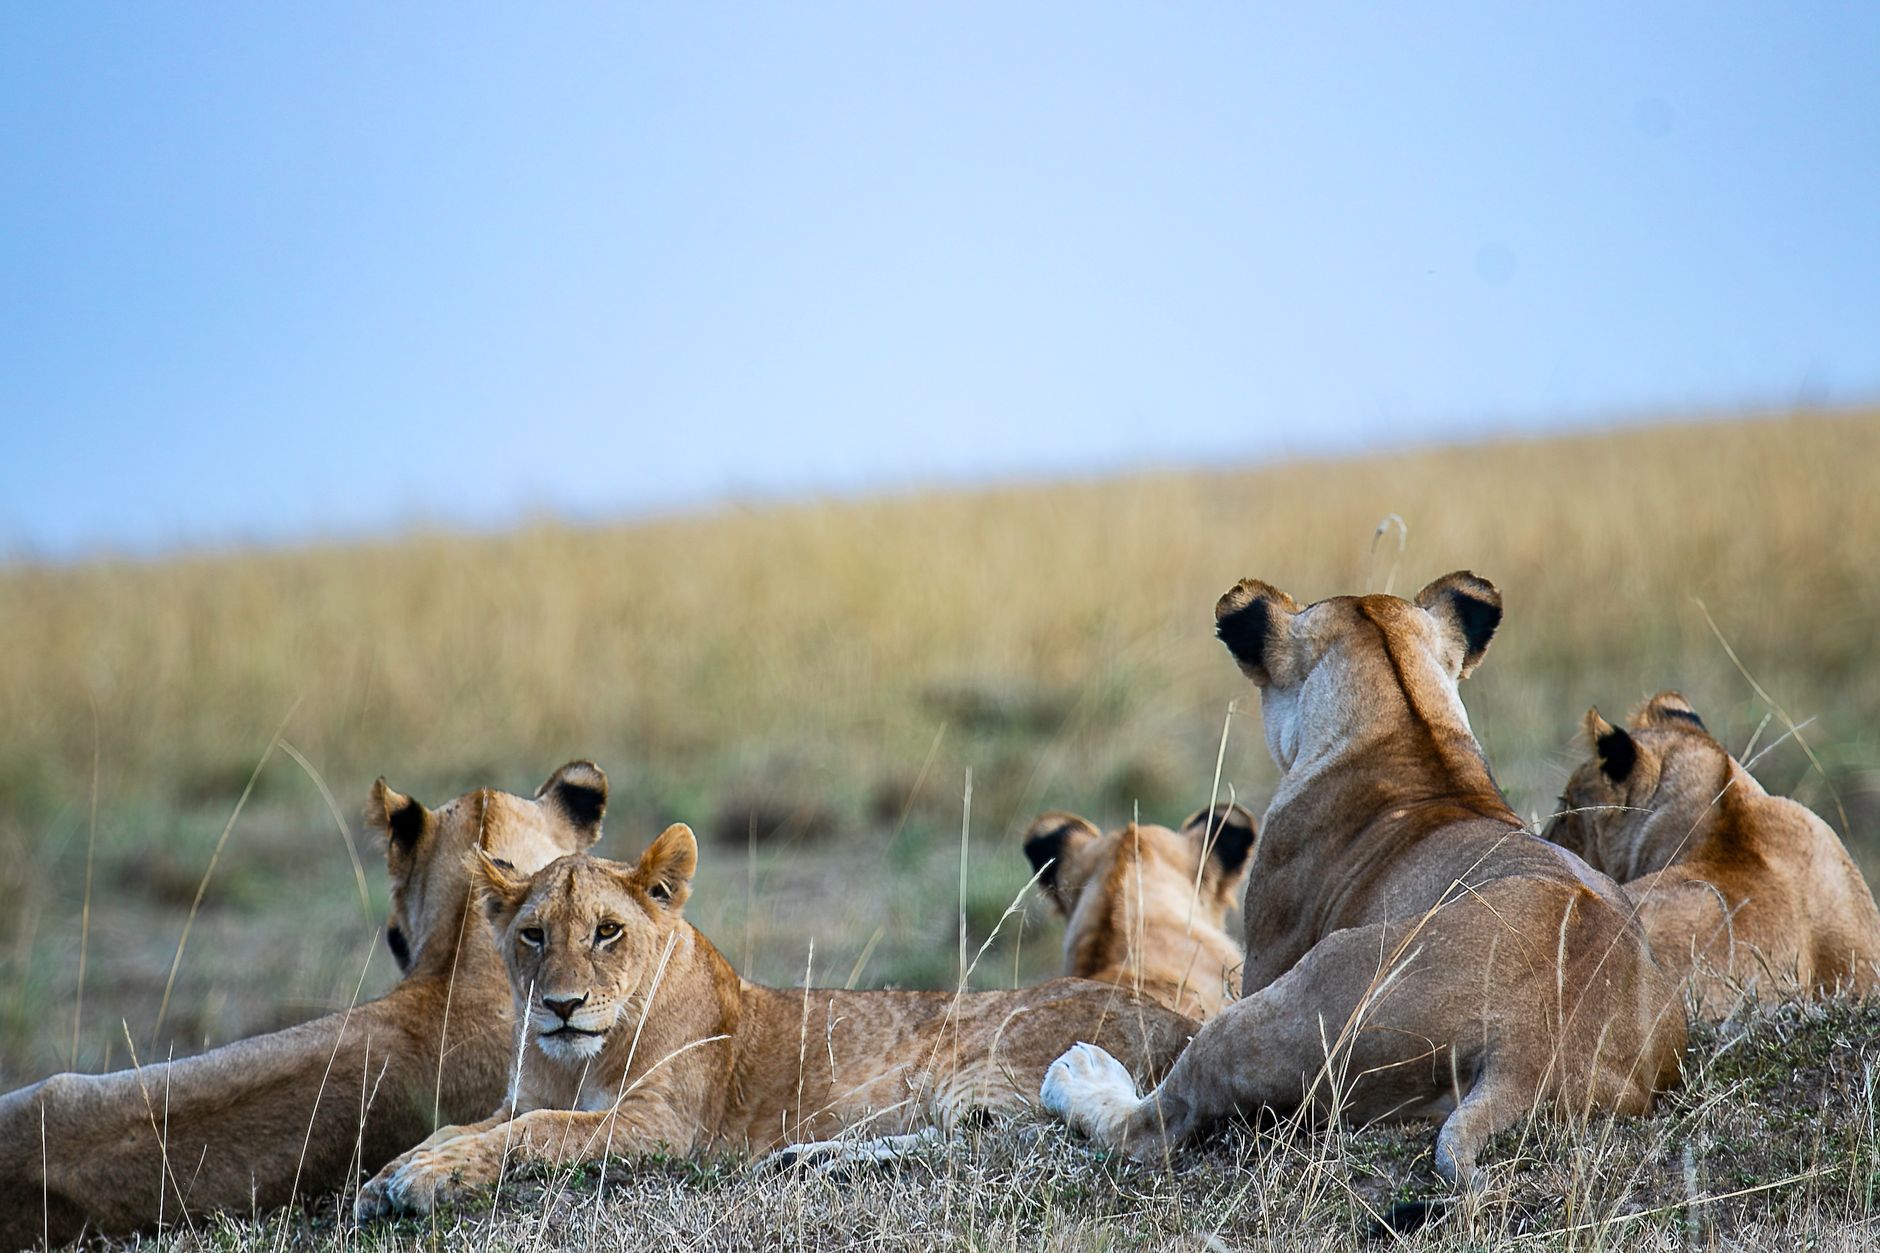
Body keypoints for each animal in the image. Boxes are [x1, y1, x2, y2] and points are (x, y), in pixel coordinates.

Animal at [355, 826, 1197, 1218]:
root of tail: (1184, 1024)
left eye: (606, 930)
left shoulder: (662, 1130)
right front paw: (389, 1175)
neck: (574, 1060)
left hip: (981, 1052)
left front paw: (422, 1180)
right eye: (533, 934)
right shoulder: (520, 1098)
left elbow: (536, 1133)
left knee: (1024, 1141)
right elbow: (461, 1126)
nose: (561, 1005)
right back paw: (808, 1159)